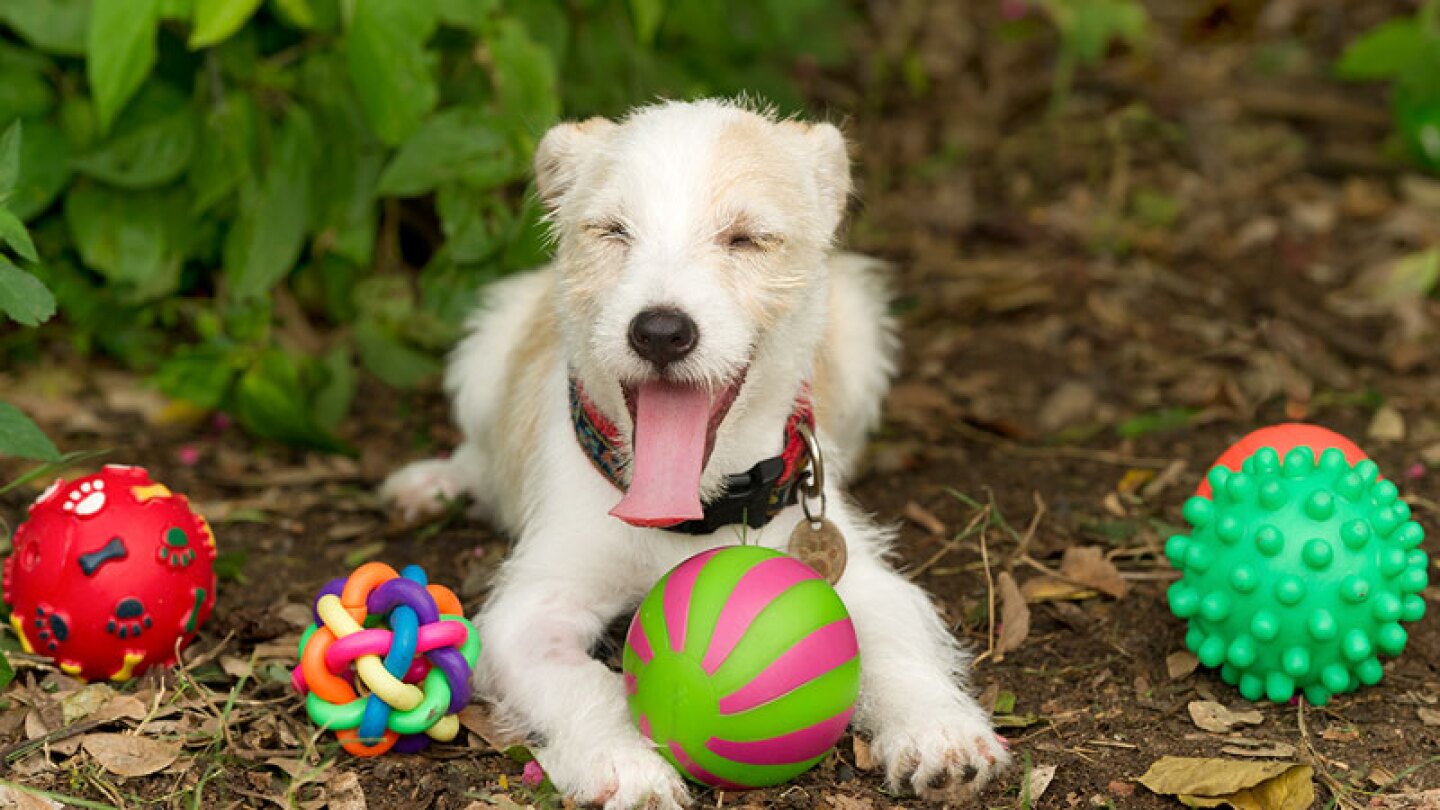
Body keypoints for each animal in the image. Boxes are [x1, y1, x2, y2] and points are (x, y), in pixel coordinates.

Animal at [383, 98, 1013, 801]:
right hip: (486, 352)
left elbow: (901, 650)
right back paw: (433, 483)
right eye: (613, 232)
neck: (696, 509)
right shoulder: (529, 614)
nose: (660, 331)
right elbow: (582, 685)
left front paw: (939, 732)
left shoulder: (865, 582)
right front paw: (622, 764)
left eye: (746, 239)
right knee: (479, 453)